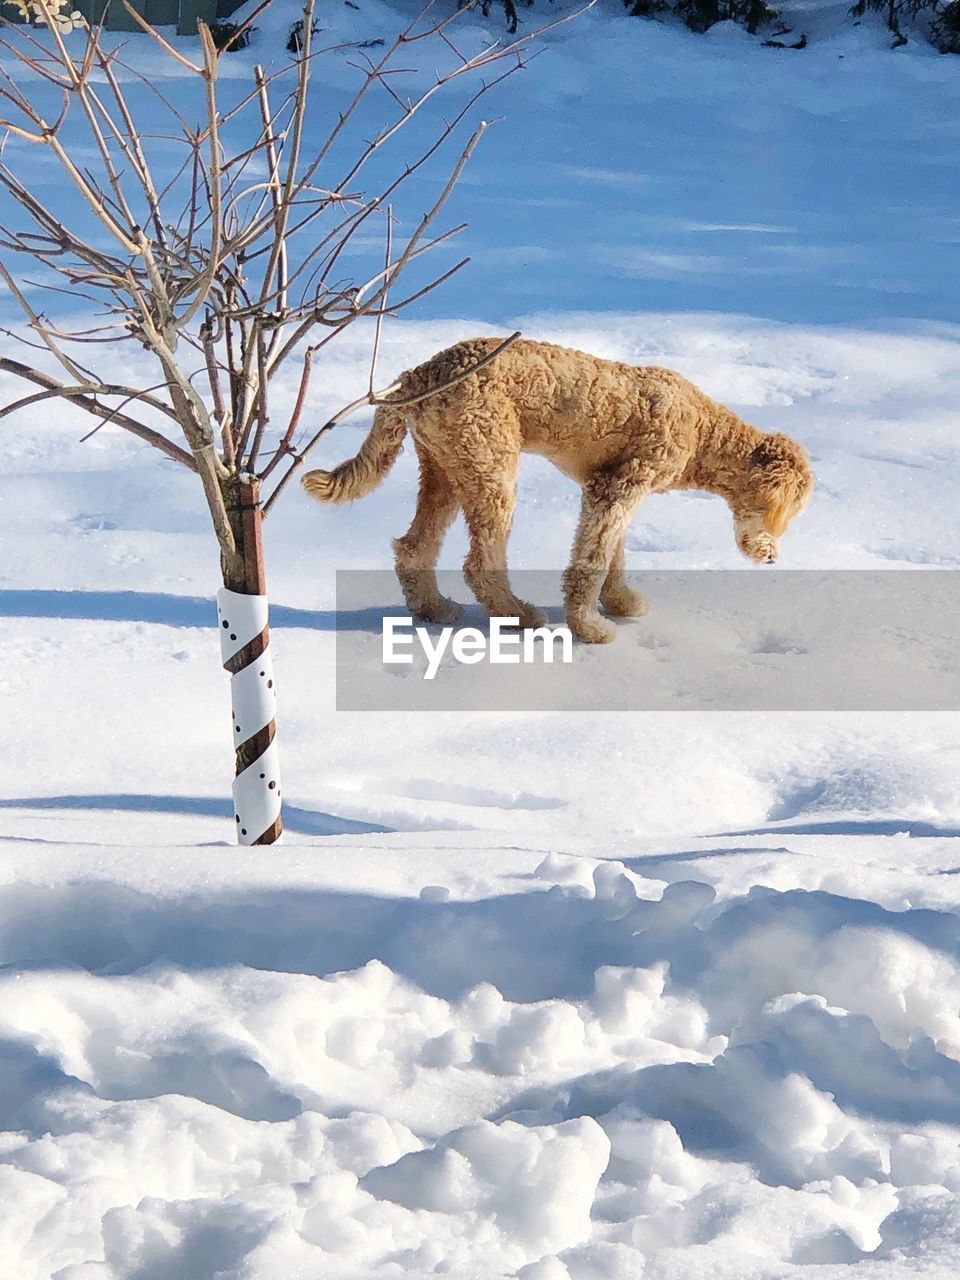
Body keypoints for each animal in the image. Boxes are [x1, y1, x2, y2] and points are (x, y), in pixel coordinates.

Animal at [300, 337, 814, 645]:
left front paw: (621, 603)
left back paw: (434, 610)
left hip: (445, 467)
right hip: (491, 467)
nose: (771, 557)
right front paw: (591, 627)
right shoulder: (618, 488)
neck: (703, 431)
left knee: (414, 548)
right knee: (480, 563)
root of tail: (417, 374)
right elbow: (591, 563)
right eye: (785, 512)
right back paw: (521, 616)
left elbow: (613, 557)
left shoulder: (604, 488)